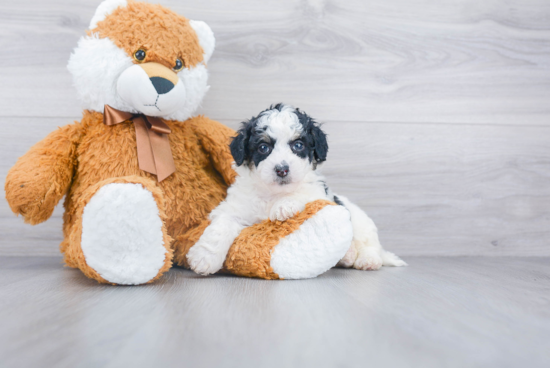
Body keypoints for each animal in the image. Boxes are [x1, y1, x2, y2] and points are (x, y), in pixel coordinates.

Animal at [188, 102, 408, 274]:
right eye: (263, 148)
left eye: (298, 145)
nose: (282, 169)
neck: (273, 193)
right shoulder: (233, 207)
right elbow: (221, 226)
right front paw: (204, 258)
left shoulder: (318, 193)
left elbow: (302, 193)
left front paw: (284, 206)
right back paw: (347, 257)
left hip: (361, 222)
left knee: (370, 245)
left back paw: (366, 259)